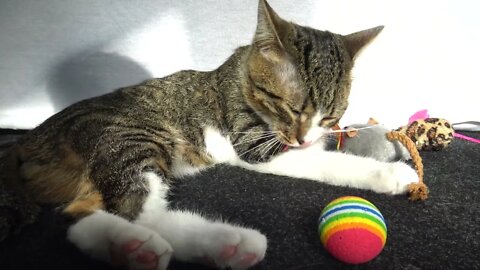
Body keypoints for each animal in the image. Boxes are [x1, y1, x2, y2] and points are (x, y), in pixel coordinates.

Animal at [1, 1, 418, 268]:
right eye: (291, 108)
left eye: (331, 115)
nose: (303, 138)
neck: (239, 74)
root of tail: (30, 138)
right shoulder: (254, 143)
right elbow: (324, 160)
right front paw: (390, 173)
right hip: (131, 138)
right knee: (137, 208)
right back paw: (210, 243)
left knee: (79, 215)